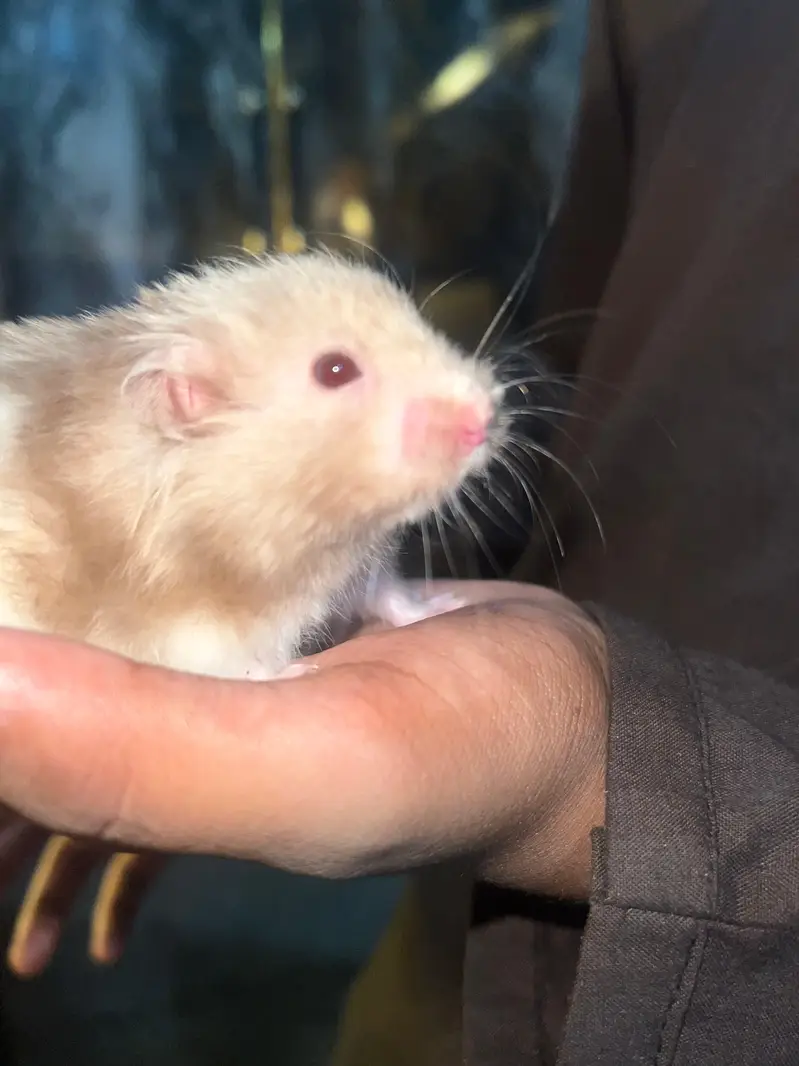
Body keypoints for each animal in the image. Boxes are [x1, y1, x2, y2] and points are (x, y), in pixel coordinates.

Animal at [0, 249, 505, 974]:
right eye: (334, 370)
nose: (488, 415)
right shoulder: (186, 621)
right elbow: (232, 658)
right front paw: (292, 673)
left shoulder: (354, 566)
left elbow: (386, 591)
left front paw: (437, 603)